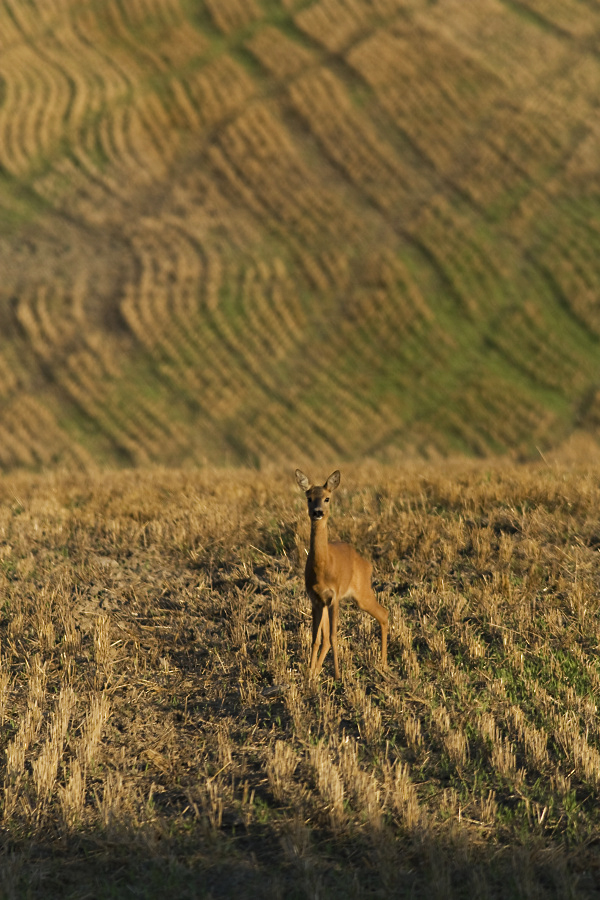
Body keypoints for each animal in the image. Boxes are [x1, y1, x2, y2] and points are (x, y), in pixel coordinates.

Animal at [296, 472, 390, 676]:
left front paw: (338, 675)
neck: (323, 567)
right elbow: (316, 639)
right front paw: (310, 673)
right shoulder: (316, 599)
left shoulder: (335, 597)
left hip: (362, 593)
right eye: (309, 498)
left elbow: (333, 636)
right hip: (335, 602)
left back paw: (384, 664)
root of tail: (367, 564)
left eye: (327, 498)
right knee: (323, 639)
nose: (317, 512)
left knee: (384, 613)